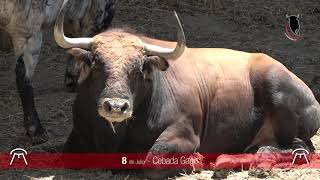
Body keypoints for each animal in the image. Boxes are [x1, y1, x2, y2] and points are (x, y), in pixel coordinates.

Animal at [54, 0, 320, 179]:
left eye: (139, 67)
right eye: (96, 62)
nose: (116, 106)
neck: (116, 134)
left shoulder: (183, 133)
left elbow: (154, 159)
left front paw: (195, 160)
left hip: (280, 97)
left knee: (302, 148)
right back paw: (227, 161)